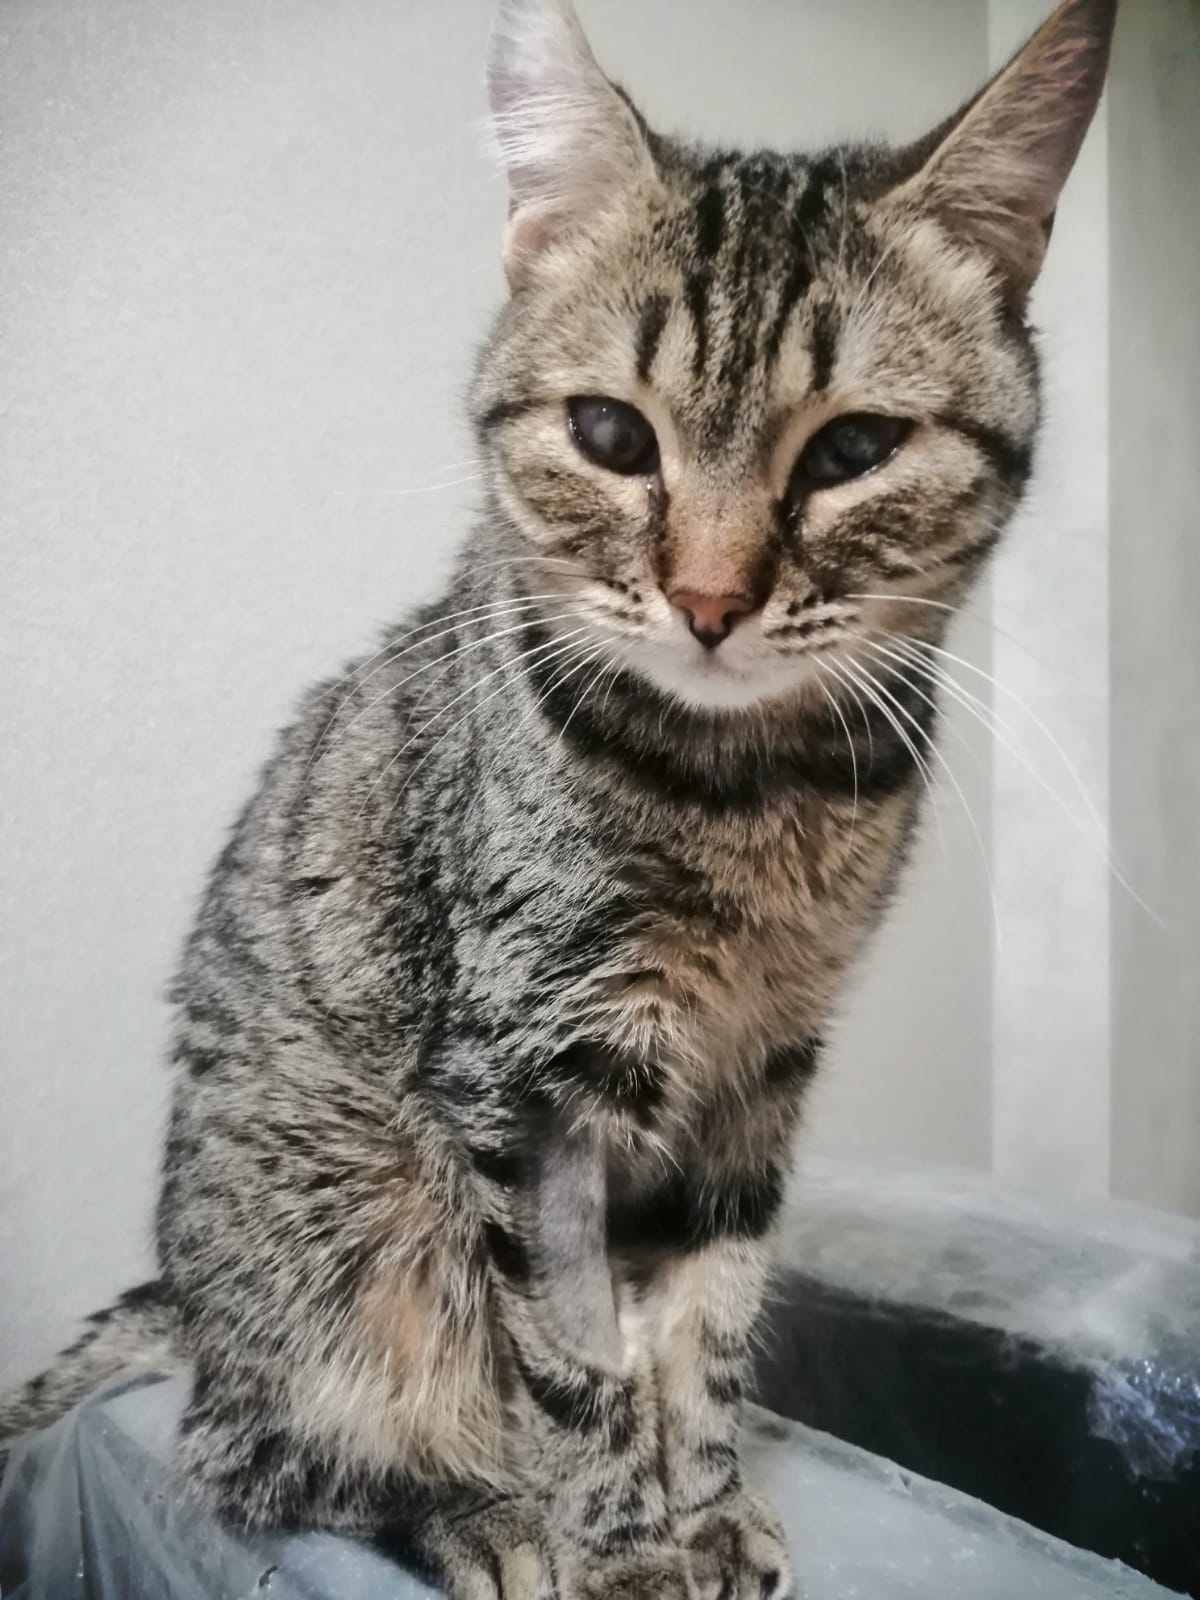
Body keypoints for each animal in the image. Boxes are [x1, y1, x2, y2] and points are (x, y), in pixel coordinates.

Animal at [0, 1, 1115, 1596]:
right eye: (610, 435)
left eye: (853, 450)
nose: (710, 599)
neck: (750, 797)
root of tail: (191, 1304)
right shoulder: (530, 1078)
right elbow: (570, 1352)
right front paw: (618, 1540)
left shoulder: (761, 1068)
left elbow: (704, 1320)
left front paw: (703, 1505)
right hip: (342, 1242)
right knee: (264, 1454)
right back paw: (469, 1510)